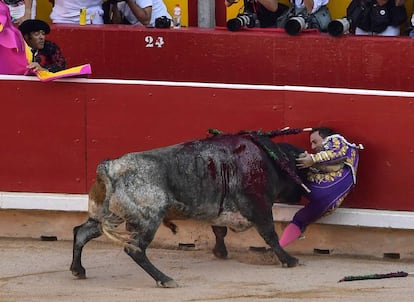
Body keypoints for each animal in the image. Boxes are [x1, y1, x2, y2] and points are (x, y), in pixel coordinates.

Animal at [69, 132, 306, 288]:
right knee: (135, 249)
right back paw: (165, 279)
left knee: (81, 232)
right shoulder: (259, 206)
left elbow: (219, 230)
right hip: (148, 218)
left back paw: (78, 270)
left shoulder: (220, 209)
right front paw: (289, 260)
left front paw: (220, 252)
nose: (300, 196)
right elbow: (270, 234)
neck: (271, 160)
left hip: (109, 215)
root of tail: (109, 166)